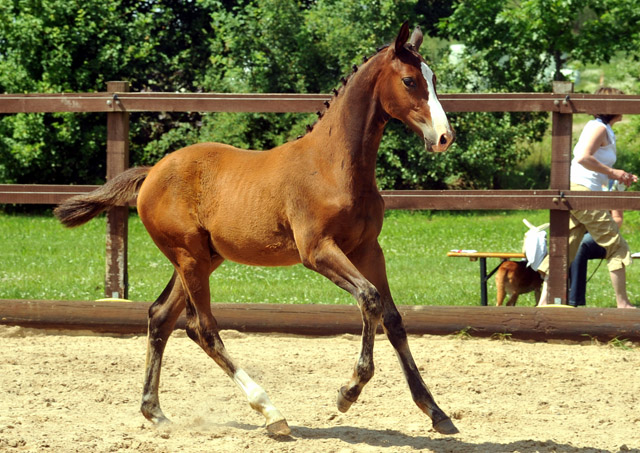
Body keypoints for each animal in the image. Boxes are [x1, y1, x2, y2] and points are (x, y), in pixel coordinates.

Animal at [53, 23, 456, 436]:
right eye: (409, 80)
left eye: (434, 79)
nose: (444, 137)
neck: (334, 167)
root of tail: (152, 173)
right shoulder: (317, 251)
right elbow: (369, 299)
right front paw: (348, 392)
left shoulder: (369, 249)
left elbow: (393, 318)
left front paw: (435, 410)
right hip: (189, 258)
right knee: (202, 327)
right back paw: (270, 411)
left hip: (200, 259)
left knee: (160, 316)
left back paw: (155, 411)